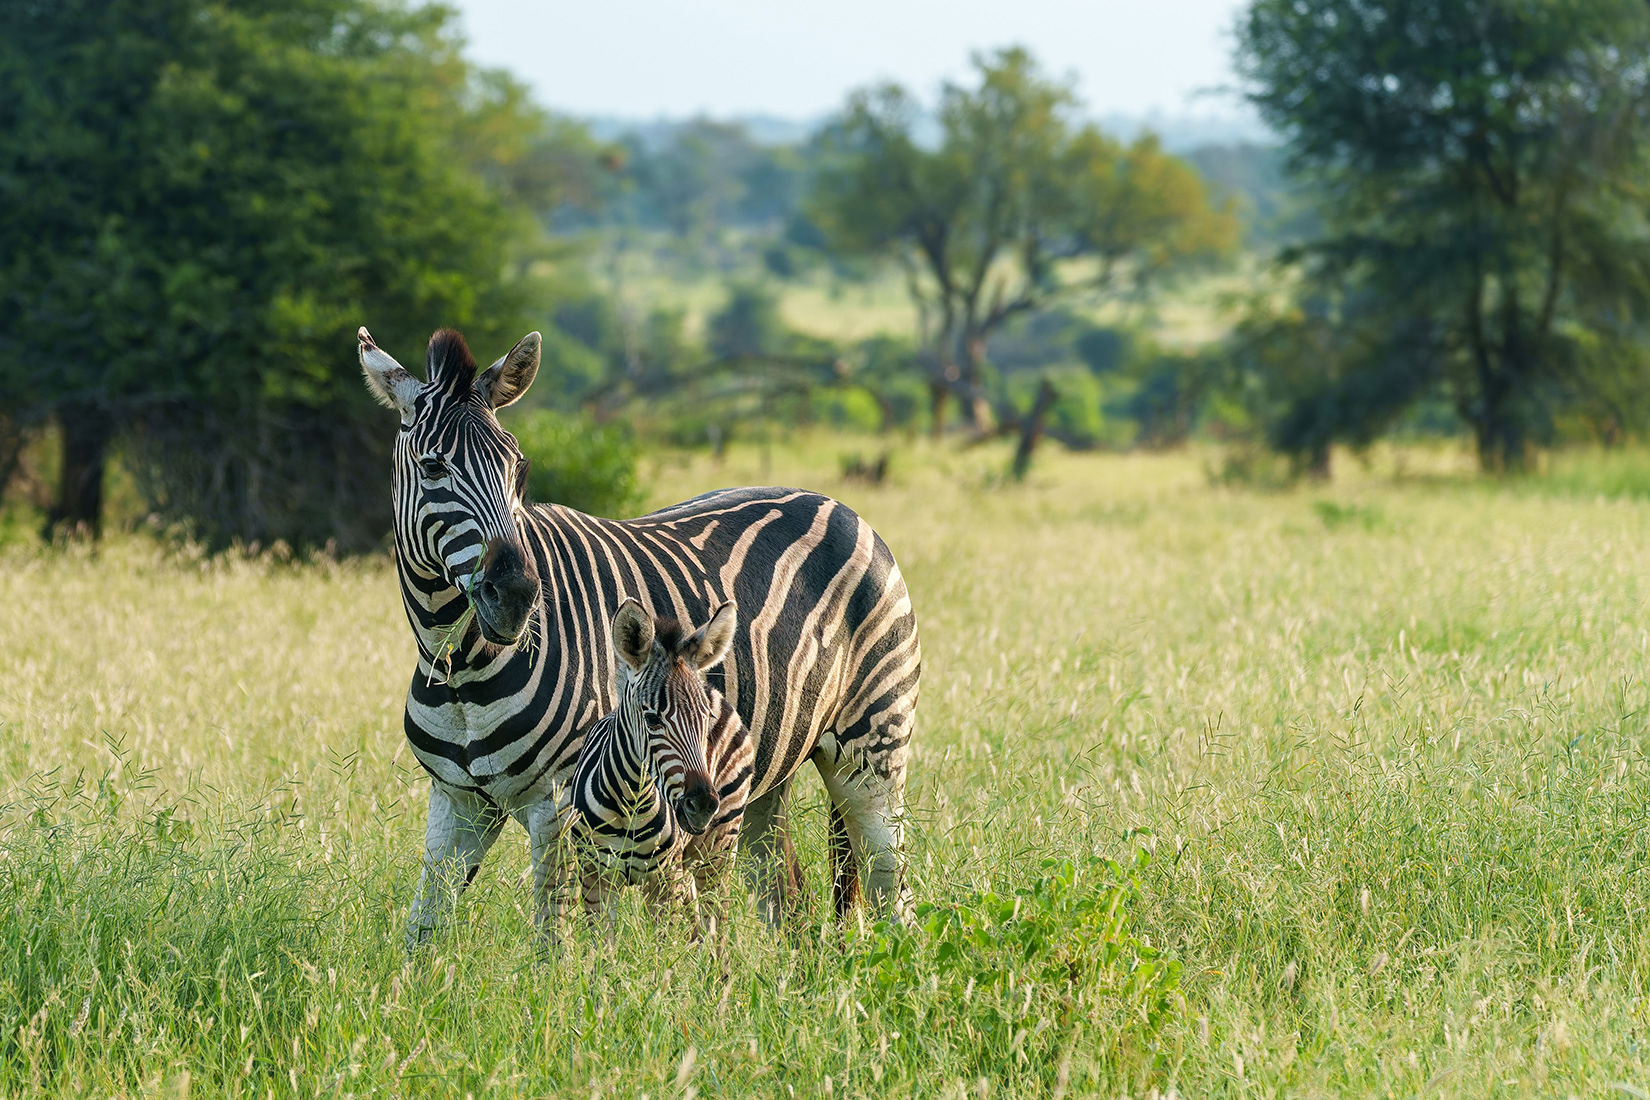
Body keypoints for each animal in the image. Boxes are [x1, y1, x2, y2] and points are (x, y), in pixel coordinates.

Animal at [567, 598, 752, 926]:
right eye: (652, 719)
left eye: (706, 719)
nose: (702, 805)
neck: (630, 804)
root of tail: (715, 691)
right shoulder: (595, 877)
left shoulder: (664, 881)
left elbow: (664, 940)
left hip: (720, 844)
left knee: (715, 919)